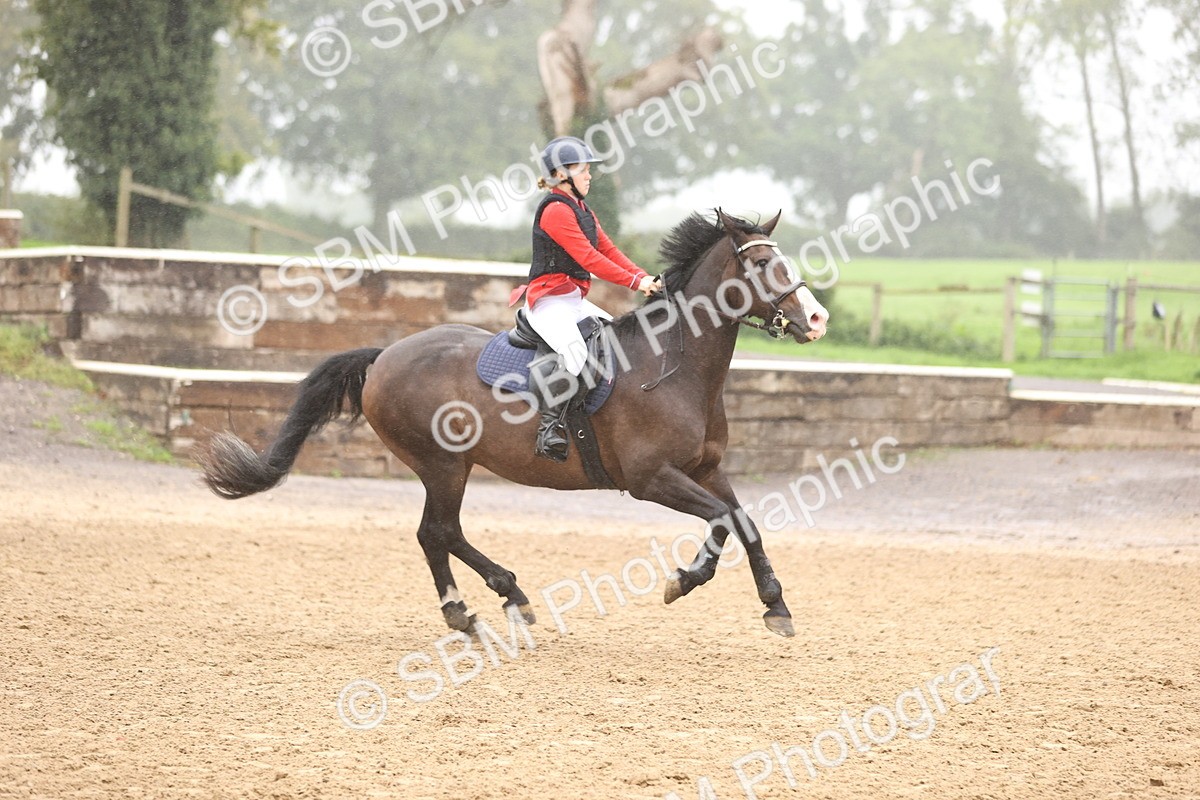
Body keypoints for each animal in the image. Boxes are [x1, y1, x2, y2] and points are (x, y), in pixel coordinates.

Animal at [198, 209, 829, 637]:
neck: (672, 364)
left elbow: (743, 521)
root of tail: (384, 356)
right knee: (438, 532)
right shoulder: (652, 480)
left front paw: (771, 602)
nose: (818, 319)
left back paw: (484, 605)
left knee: (438, 533)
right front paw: (688, 579)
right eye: (763, 264)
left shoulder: (705, 469)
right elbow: (723, 519)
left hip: (446, 466)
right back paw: (490, 602)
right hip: (443, 463)